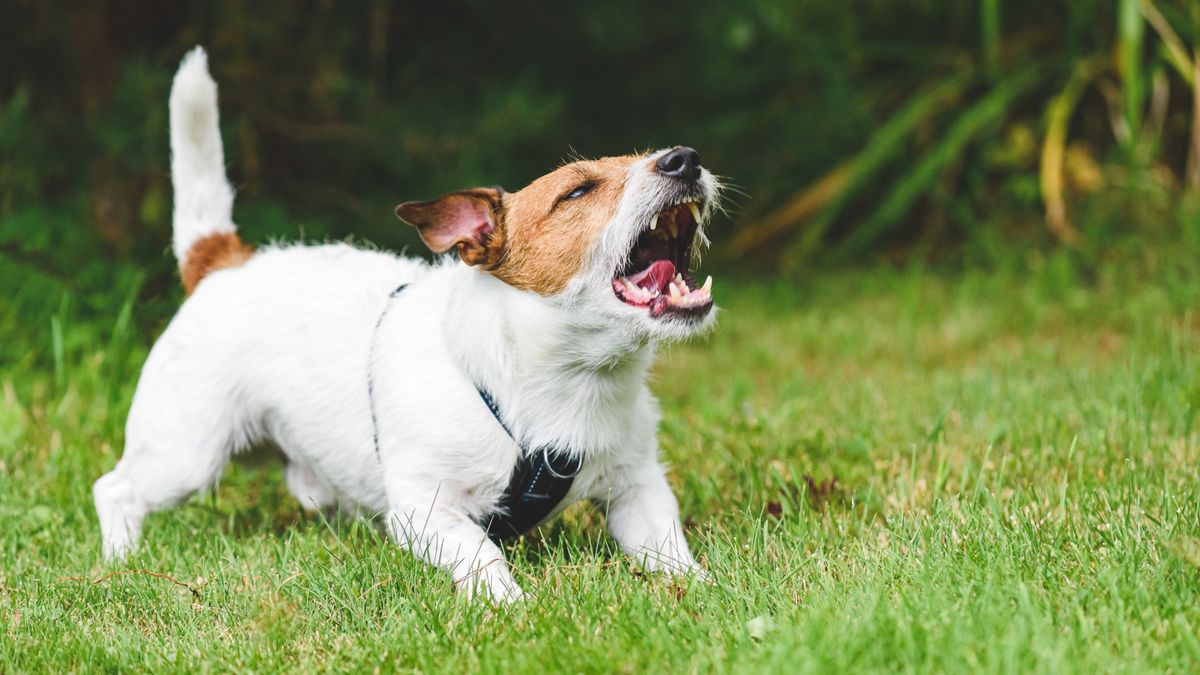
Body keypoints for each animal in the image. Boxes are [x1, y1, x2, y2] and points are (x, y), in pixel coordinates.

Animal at [93, 49, 720, 600]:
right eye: (578, 190)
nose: (686, 158)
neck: (565, 380)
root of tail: (224, 260)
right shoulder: (426, 509)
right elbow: (481, 551)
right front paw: (509, 603)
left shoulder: (638, 488)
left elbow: (669, 549)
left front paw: (706, 591)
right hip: (185, 454)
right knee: (114, 489)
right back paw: (123, 559)